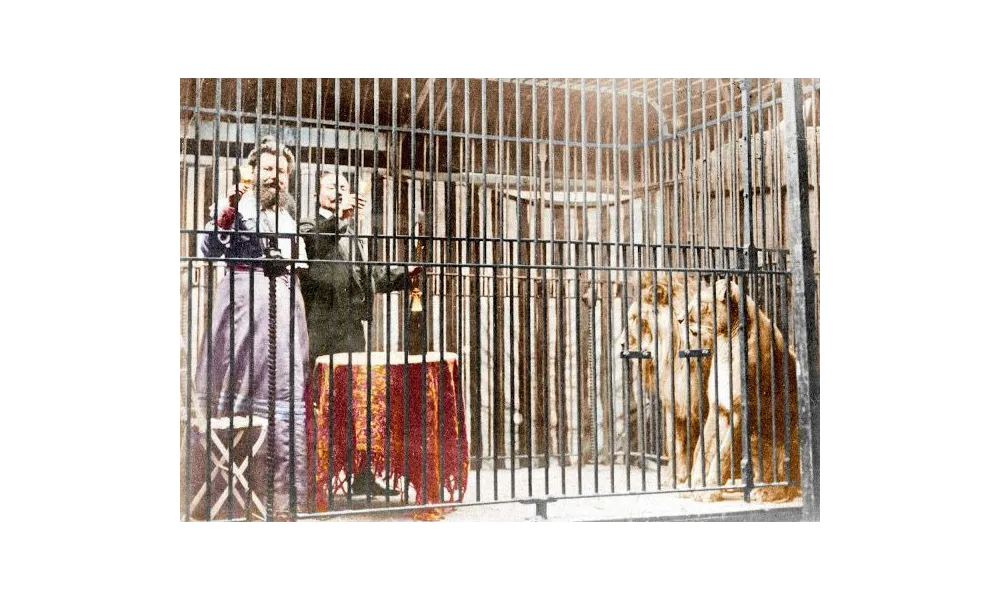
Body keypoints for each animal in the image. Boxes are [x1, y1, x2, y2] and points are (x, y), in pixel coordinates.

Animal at [684, 278, 800, 502]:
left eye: (701, 304)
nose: (679, 319)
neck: (724, 343)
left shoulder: (742, 411)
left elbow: (723, 454)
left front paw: (708, 491)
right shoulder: (718, 408)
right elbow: (702, 449)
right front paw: (694, 485)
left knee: (789, 482)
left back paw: (765, 491)